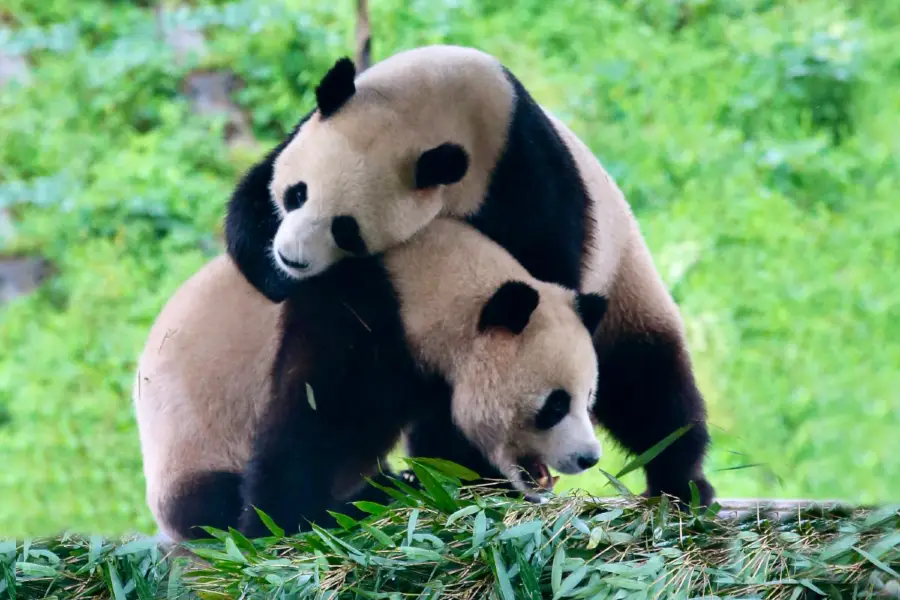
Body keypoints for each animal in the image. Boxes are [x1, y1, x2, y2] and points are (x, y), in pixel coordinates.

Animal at [135, 218, 612, 540]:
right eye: (555, 405)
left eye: (589, 398)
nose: (588, 458)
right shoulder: (353, 320)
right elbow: (310, 424)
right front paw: (281, 525)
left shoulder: (437, 376)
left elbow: (449, 444)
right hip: (194, 446)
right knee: (211, 504)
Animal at [227, 44, 716, 508]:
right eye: (297, 194)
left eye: (345, 229)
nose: (290, 258)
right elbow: (248, 208)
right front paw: (278, 274)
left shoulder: (524, 177)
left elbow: (539, 274)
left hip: (625, 281)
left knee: (651, 388)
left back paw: (681, 480)